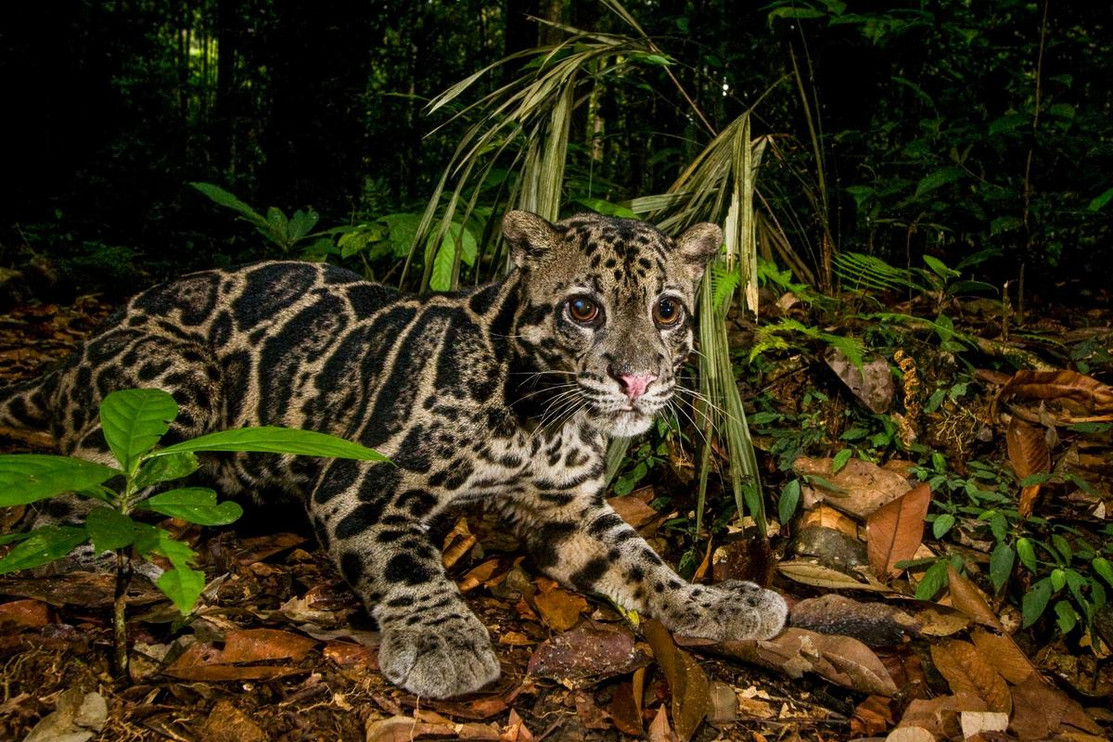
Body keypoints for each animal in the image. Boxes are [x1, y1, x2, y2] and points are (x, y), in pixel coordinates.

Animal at [2, 211, 783, 698]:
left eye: (668, 311)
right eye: (583, 309)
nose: (638, 379)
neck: (545, 420)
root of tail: (84, 343)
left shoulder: (566, 508)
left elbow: (641, 559)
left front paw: (712, 602)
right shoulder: (361, 481)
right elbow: (405, 560)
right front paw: (443, 640)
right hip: (174, 384)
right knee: (65, 504)